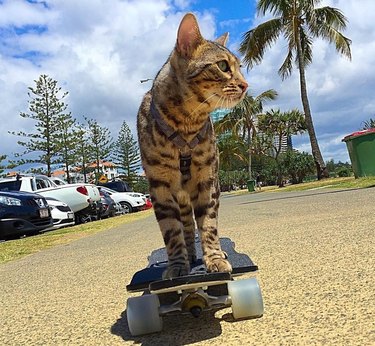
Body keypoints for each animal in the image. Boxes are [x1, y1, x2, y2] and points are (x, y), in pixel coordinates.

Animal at [137, 12, 248, 280]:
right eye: (223, 66)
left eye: (240, 68)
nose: (245, 85)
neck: (187, 123)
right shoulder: (160, 186)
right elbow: (171, 231)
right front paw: (178, 264)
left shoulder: (207, 182)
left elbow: (208, 225)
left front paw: (215, 258)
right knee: (186, 227)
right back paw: (188, 254)